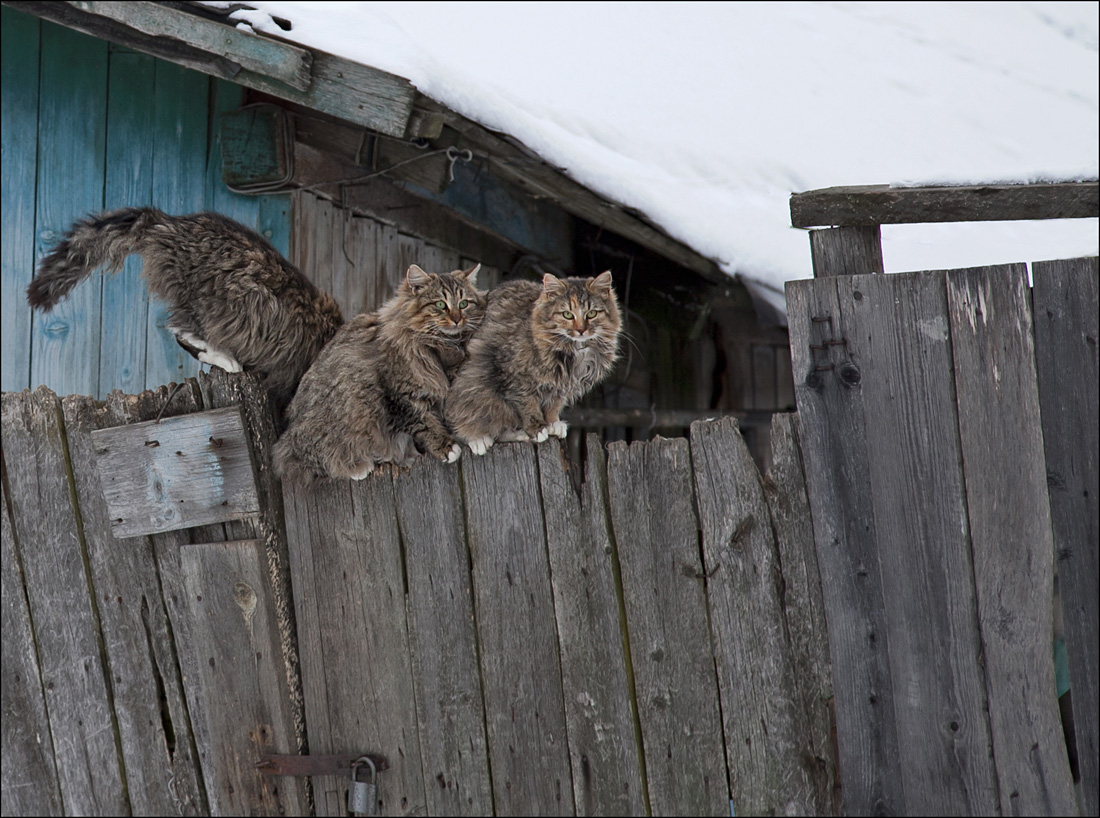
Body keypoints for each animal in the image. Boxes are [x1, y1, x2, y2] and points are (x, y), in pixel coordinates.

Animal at [272, 261, 484, 481]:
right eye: (441, 305)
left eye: (463, 304)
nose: (457, 319)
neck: (440, 346)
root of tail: (288, 433)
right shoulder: (399, 396)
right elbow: (424, 424)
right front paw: (447, 448)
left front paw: (474, 438)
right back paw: (358, 468)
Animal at [444, 272, 620, 452]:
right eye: (567, 315)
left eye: (591, 314)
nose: (581, 330)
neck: (575, 350)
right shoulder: (514, 377)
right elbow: (527, 405)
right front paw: (538, 428)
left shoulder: (560, 386)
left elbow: (553, 405)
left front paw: (552, 423)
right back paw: (478, 439)